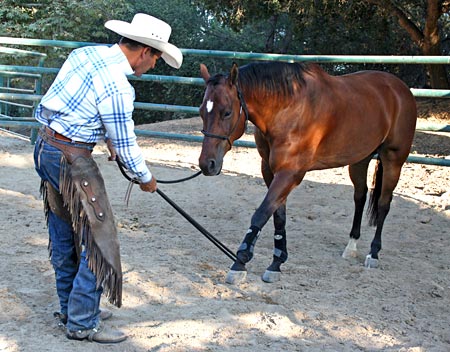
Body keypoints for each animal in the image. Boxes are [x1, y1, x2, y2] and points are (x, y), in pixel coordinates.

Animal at [199, 62, 416, 284]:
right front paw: (277, 263)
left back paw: (373, 253)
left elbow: (261, 214)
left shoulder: (290, 173)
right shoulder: (270, 170)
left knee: (383, 203)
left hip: (393, 160)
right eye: (201, 112)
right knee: (360, 197)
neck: (288, 110)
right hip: (359, 159)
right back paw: (351, 246)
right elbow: (278, 216)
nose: (207, 164)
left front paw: (240, 262)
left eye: (227, 112)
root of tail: (399, 87)